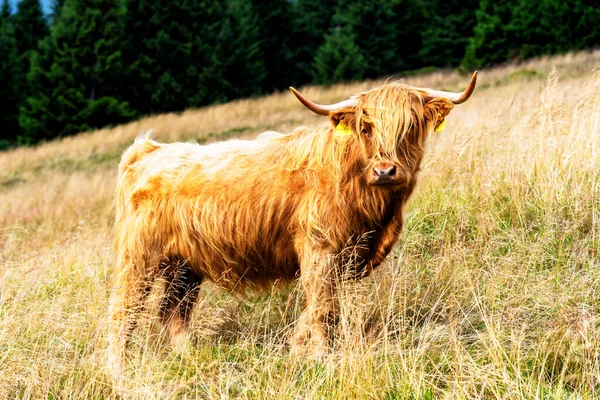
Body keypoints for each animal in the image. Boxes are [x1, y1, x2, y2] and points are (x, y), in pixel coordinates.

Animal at [106, 72, 478, 368]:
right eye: (366, 127)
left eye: (410, 126)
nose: (385, 171)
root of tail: (148, 151)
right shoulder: (319, 249)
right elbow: (323, 308)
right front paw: (322, 359)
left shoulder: (347, 256)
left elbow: (322, 308)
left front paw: (300, 350)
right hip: (139, 257)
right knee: (125, 310)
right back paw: (119, 368)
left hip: (184, 266)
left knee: (173, 311)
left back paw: (188, 357)